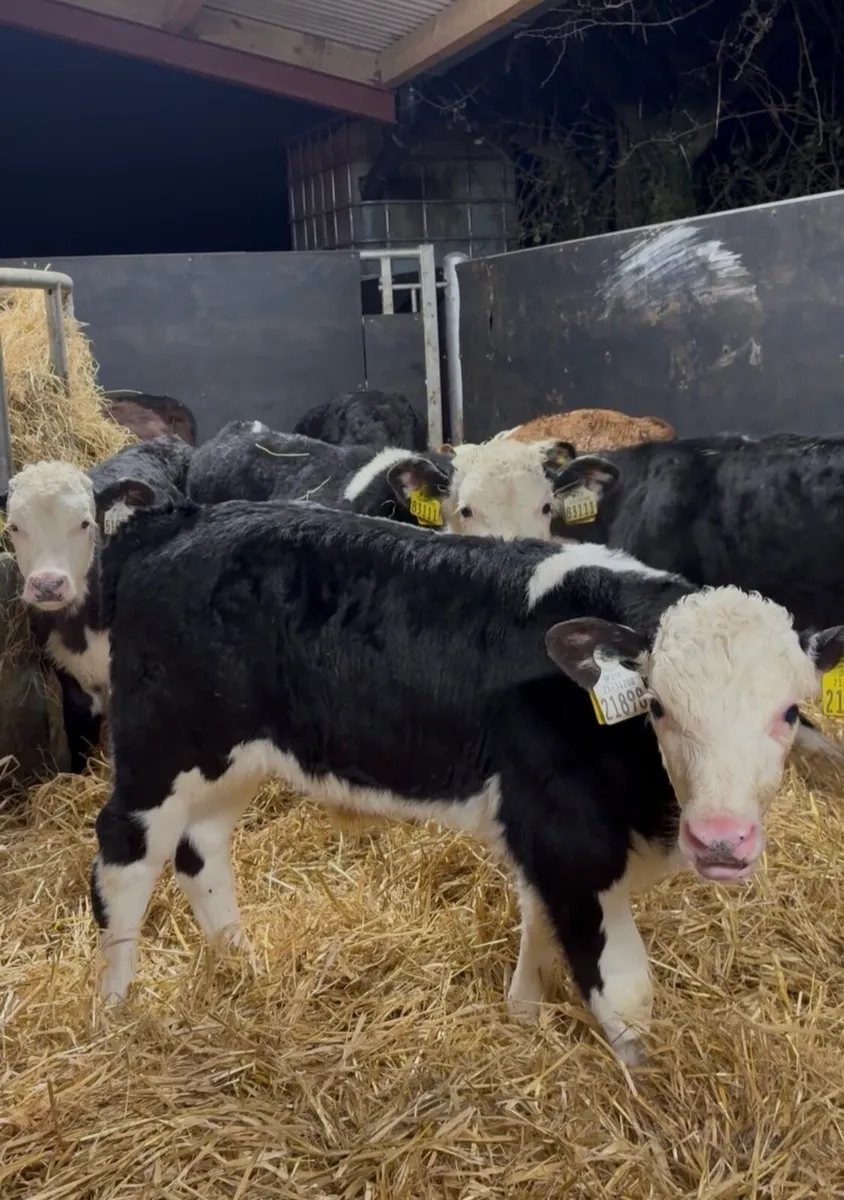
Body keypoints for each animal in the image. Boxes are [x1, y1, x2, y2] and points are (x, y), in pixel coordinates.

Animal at [88, 498, 844, 1065]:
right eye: (658, 706)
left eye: (789, 712)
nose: (721, 840)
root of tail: (184, 519)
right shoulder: (567, 837)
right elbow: (627, 994)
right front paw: (646, 1092)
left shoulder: (541, 832)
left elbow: (537, 923)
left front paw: (525, 1017)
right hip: (160, 745)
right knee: (127, 855)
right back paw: (118, 1009)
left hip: (230, 759)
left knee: (202, 848)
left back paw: (241, 964)